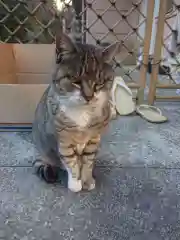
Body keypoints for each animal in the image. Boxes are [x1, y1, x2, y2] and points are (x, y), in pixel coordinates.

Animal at [32, 32, 120, 193]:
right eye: (76, 81)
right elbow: (70, 162)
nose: (89, 97)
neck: (82, 112)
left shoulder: (94, 139)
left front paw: (87, 180)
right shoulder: (63, 140)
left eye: (99, 83)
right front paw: (75, 184)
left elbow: (88, 161)